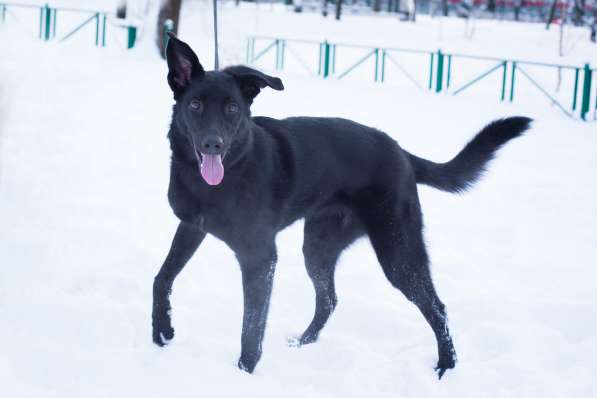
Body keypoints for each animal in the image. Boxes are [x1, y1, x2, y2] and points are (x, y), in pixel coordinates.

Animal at [150, 33, 532, 376]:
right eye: (195, 105)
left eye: (232, 108)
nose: (212, 144)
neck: (219, 179)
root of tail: (401, 152)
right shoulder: (191, 227)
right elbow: (162, 277)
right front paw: (161, 329)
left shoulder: (260, 258)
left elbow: (251, 326)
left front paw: (244, 373)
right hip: (318, 248)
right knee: (329, 299)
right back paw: (303, 342)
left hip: (398, 253)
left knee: (437, 306)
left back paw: (446, 367)